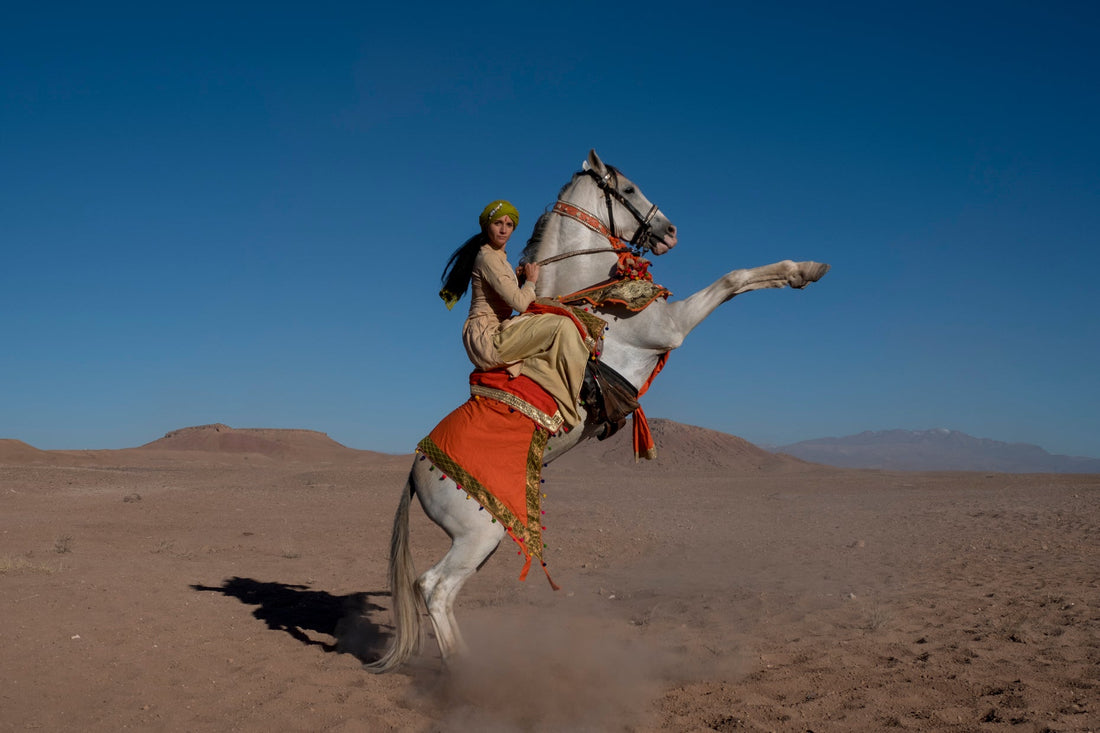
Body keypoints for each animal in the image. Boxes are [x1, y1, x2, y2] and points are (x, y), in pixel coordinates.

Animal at [365, 150, 827, 669]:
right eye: (627, 190)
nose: (669, 231)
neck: (594, 297)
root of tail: (416, 470)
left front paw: (807, 270)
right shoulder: (670, 328)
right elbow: (733, 279)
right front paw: (805, 269)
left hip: (489, 536)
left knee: (436, 588)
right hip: (477, 534)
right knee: (435, 587)